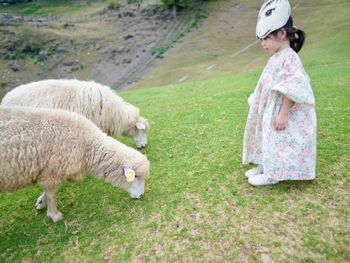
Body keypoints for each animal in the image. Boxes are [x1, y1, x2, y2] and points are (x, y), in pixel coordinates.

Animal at [0, 106, 149, 224]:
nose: (141, 195)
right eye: (135, 177)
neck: (86, 143)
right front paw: (54, 215)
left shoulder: (49, 170)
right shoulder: (54, 170)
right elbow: (51, 193)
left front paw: (41, 203)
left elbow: (47, 191)